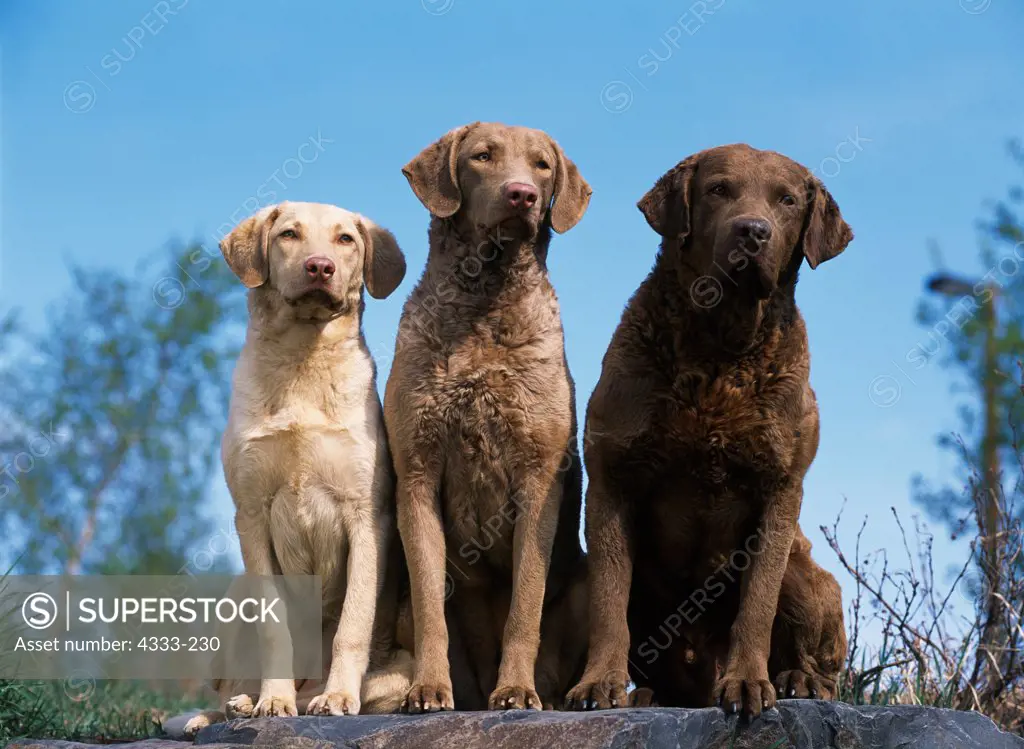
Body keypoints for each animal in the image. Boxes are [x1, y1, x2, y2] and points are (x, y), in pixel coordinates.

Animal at [184, 200, 411, 737]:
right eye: (289, 234)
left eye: (345, 239)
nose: (319, 267)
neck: (301, 363)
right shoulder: (251, 513)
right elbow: (274, 629)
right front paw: (273, 700)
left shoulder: (367, 516)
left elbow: (353, 623)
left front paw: (339, 697)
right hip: (235, 594)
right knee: (230, 683)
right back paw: (232, 708)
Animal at [385, 119, 593, 713]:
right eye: (482, 156)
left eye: (542, 166)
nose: (522, 194)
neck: (483, 303)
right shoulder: (417, 471)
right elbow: (431, 605)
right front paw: (428, 690)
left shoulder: (538, 476)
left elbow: (526, 601)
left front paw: (516, 691)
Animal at [569, 143, 847, 717]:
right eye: (719, 189)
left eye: (787, 200)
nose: (753, 231)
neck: (720, 349)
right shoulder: (610, 480)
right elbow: (609, 600)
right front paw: (598, 685)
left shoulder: (780, 488)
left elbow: (757, 606)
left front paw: (747, 683)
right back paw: (647, 694)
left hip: (806, 571)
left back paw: (797, 680)